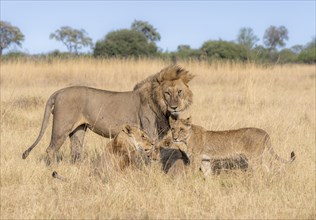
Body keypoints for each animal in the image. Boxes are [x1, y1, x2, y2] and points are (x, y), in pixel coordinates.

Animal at [21, 65, 193, 165]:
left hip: (78, 130)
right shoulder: (149, 131)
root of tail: (58, 92)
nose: (174, 107)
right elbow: (153, 152)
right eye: (167, 93)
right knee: (50, 150)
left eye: (179, 92)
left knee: (76, 152)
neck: (161, 107)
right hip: (61, 128)